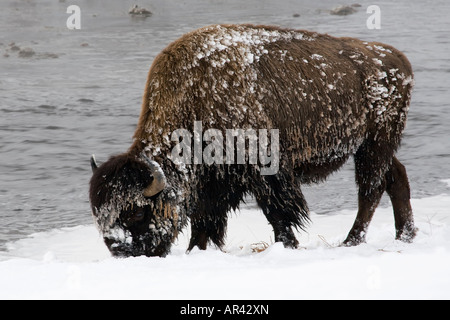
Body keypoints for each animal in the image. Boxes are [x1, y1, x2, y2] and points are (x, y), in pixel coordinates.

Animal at [89, 25, 416, 258]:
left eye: (137, 211)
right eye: (98, 213)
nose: (119, 249)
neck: (196, 96)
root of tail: (398, 60)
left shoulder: (267, 172)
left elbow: (278, 213)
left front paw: (289, 246)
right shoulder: (211, 183)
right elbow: (204, 221)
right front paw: (196, 250)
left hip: (374, 145)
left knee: (370, 191)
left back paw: (352, 241)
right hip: (375, 147)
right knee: (396, 178)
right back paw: (406, 236)